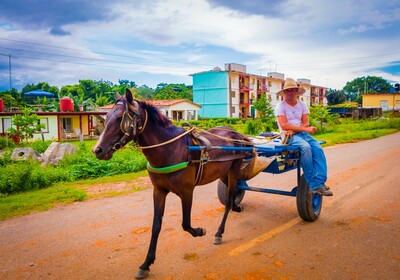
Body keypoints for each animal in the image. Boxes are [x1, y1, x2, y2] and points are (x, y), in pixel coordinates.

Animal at [92, 88, 252, 278]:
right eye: (106, 117)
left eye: (119, 118)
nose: (97, 150)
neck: (170, 149)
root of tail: (235, 133)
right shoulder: (159, 191)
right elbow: (156, 226)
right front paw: (146, 263)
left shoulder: (187, 192)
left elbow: (186, 224)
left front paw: (199, 231)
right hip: (223, 173)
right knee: (233, 193)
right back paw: (236, 206)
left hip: (234, 168)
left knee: (228, 200)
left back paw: (220, 231)